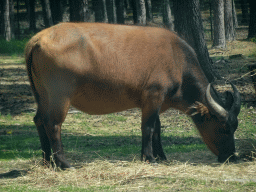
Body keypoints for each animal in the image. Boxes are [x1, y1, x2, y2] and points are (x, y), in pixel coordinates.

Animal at [25, 22, 241, 170]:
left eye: (234, 127)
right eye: (224, 128)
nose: (232, 156)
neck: (177, 59)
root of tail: (38, 39)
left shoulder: (155, 102)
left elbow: (157, 129)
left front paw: (161, 156)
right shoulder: (153, 96)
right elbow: (148, 127)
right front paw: (149, 157)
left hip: (42, 95)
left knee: (39, 120)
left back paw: (46, 160)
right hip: (59, 97)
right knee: (53, 124)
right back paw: (63, 163)